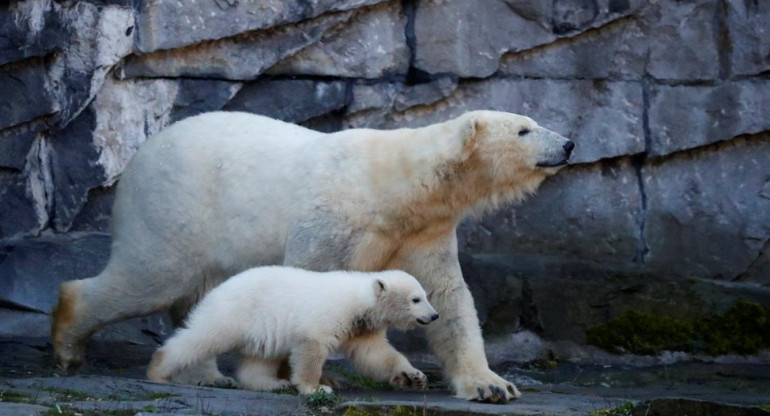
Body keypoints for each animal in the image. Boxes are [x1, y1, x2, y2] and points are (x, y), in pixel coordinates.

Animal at [52, 110, 568, 404]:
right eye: (524, 128)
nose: (568, 143)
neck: (391, 187)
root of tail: (139, 155)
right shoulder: (333, 220)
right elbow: (306, 285)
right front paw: (302, 376)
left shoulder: (425, 232)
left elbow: (448, 299)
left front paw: (489, 385)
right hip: (176, 206)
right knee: (151, 277)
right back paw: (68, 344)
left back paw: (206, 376)